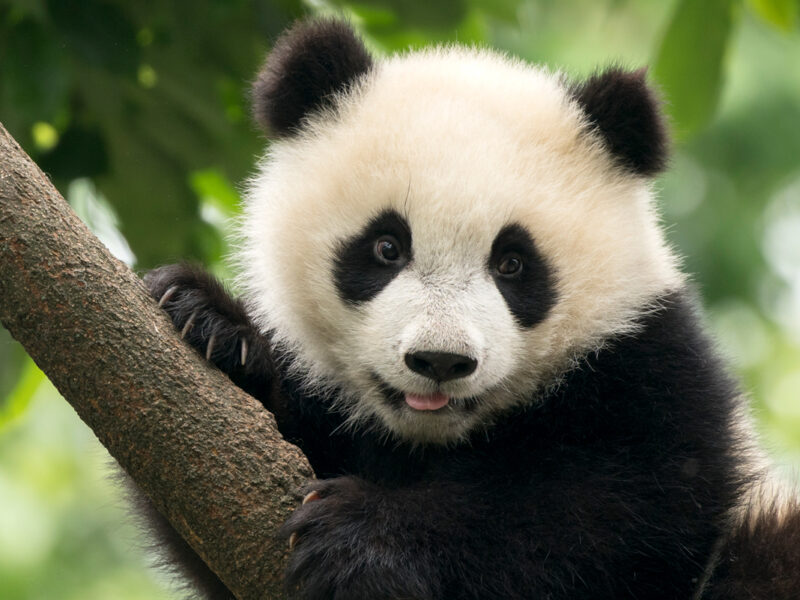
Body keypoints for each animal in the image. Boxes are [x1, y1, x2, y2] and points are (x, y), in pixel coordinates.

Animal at [140, 17, 800, 600]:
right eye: (386, 246)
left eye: (512, 263)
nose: (439, 360)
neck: (432, 439)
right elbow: (216, 517)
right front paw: (211, 324)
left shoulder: (652, 367)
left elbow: (610, 517)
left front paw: (362, 538)